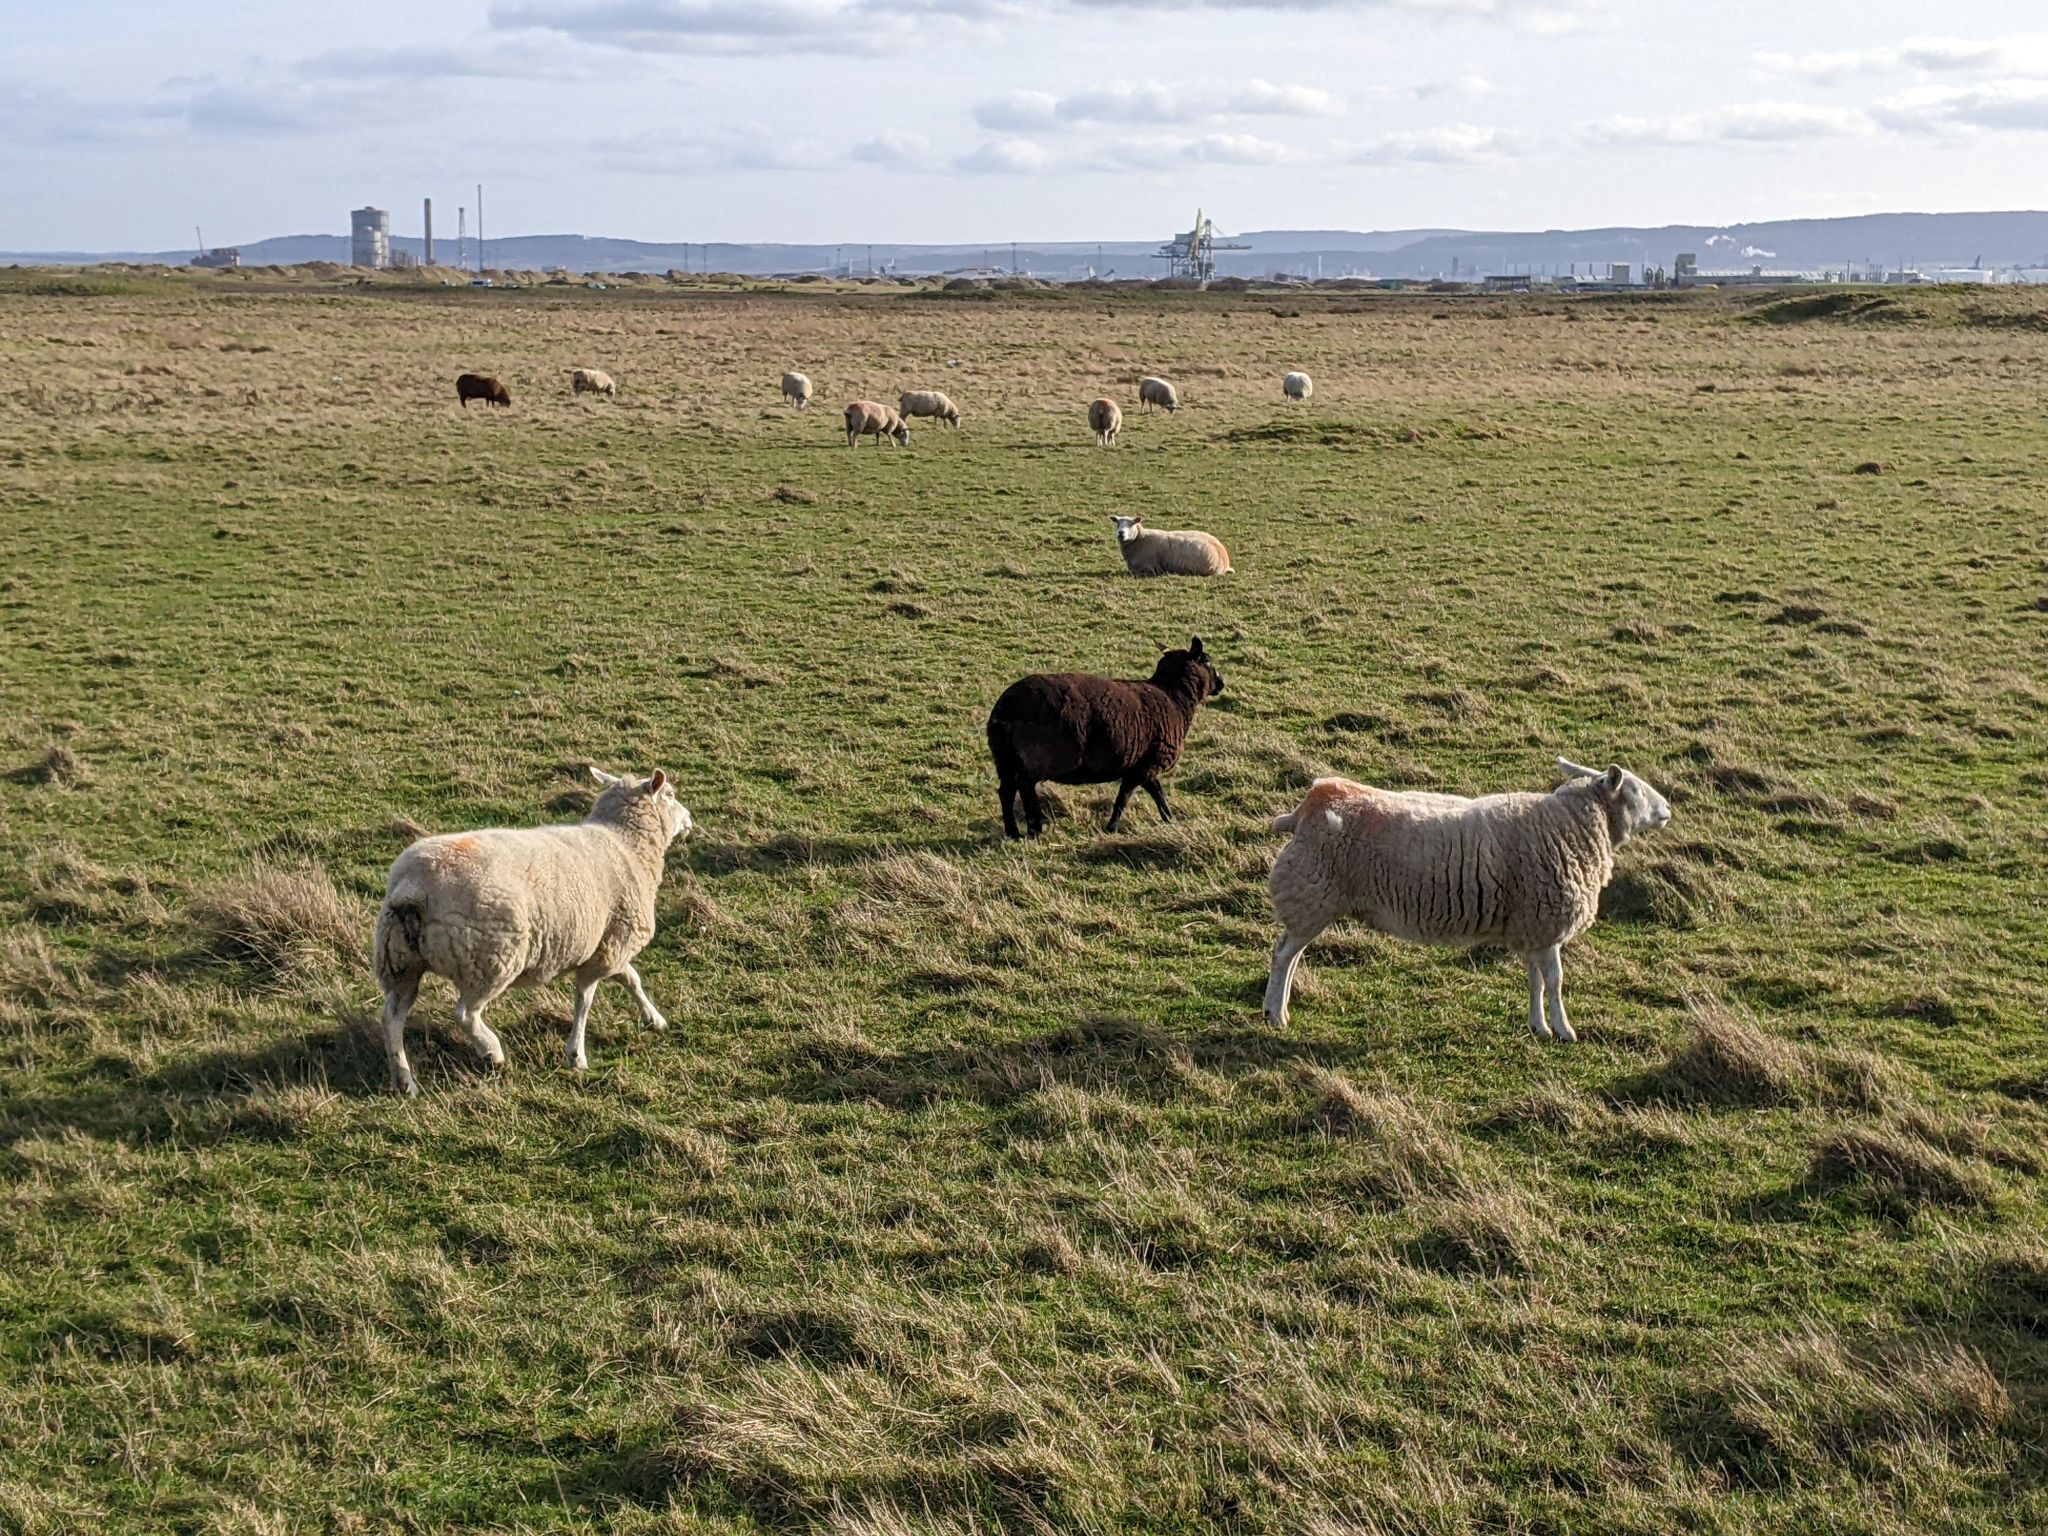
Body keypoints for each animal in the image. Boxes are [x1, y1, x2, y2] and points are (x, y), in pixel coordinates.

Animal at [380, 770, 700, 1097]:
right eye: (670, 795)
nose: (690, 819)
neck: (626, 843)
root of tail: (414, 886)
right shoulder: (610, 946)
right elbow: (585, 1000)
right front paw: (576, 1054)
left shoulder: (607, 944)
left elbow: (631, 979)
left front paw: (653, 1019)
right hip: (489, 958)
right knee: (465, 1013)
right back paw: (491, 1051)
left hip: (401, 960)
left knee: (393, 1016)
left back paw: (404, 1079)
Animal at [983, 634, 1220, 843]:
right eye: (1207, 660)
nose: (1221, 683)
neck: (1175, 698)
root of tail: (1005, 707)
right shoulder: (1147, 764)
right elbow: (1126, 798)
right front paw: (1112, 827)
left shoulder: (1140, 765)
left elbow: (1155, 794)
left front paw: (1170, 820)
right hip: (1038, 758)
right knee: (1025, 786)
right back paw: (1034, 829)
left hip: (1005, 759)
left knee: (1006, 792)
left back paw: (1013, 833)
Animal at [1261, 761, 1679, 1040]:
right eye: (1636, 790)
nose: (1667, 811)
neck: (1571, 826)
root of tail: (1307, 807)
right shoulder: (1547, 924)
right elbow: (1556, 981)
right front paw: (1564, 1030)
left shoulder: (1530, 927)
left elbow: (1535, 980)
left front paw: (1539, 1027)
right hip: (1312, 893)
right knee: (1283, 954)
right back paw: (1275, 1014)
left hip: (1313, 899)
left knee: (1291, 953)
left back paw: (1278, 1007)